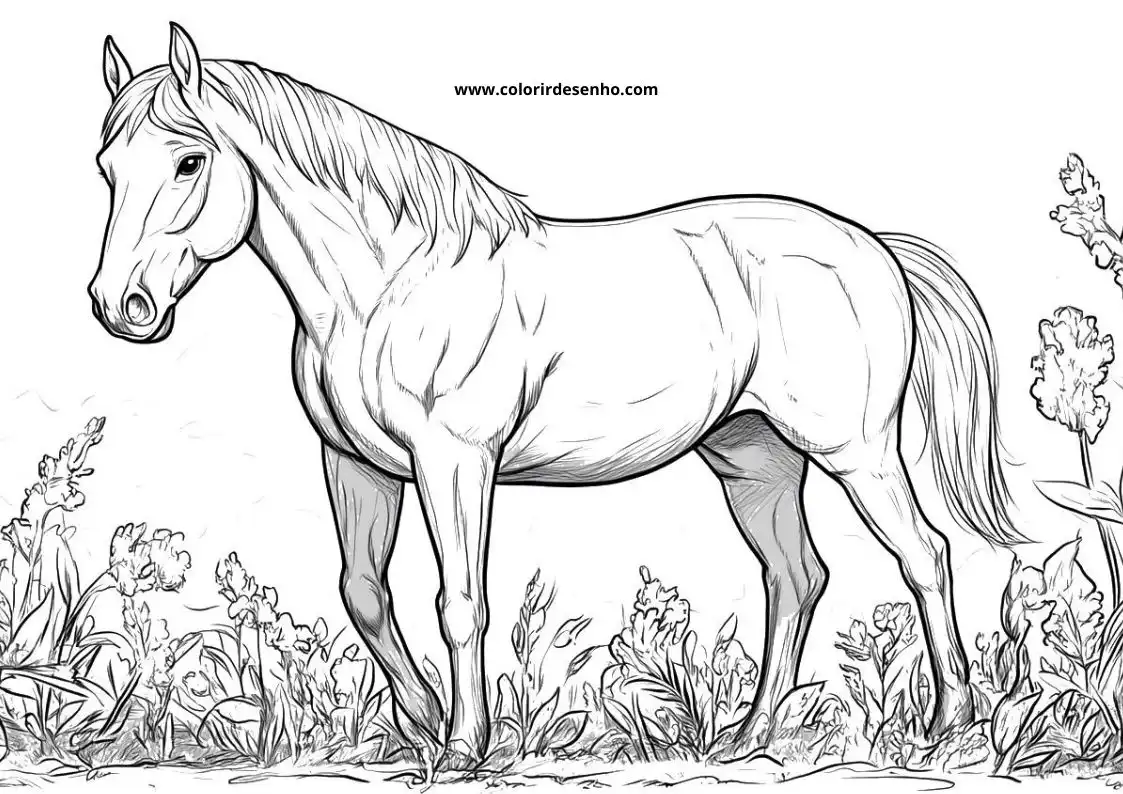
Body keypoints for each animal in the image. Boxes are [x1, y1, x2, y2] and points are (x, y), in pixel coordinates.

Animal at [89, 24, 1022, 768]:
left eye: (189, 161)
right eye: (105, 169)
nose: (119, 307)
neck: (389, 284)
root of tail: (872, 247)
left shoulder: (454, 462)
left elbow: (460, 602)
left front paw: (464, 747)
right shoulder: (358, 465)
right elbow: (363, 592)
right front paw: (421, 721)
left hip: (854, 453)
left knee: (923, 556)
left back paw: (950, 725)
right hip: (754, 458)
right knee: (795, 575)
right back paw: (749, 737)